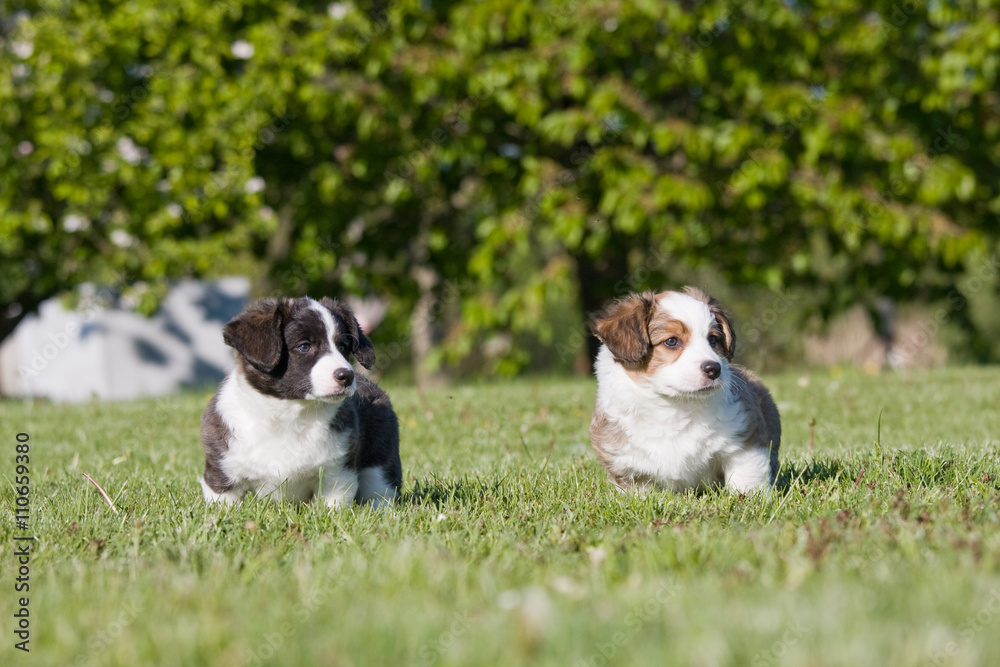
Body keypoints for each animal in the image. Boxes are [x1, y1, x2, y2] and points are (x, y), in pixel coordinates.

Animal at [199, 294, 402, 508]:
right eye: (304, 346)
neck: (290, 413)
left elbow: (333, 507)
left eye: (342, 347)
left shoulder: (337, 476)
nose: (347, 376)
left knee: (380, 492)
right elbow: (223, 505)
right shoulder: (223, 475)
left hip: (379, 464)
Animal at [588, 290, 776, 494]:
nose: (714, 369)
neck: (674, 406)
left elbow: (746, 479)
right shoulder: (628, 466)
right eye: (671, 341)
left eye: (712, 339)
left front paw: (749, 498)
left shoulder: (745, 441)